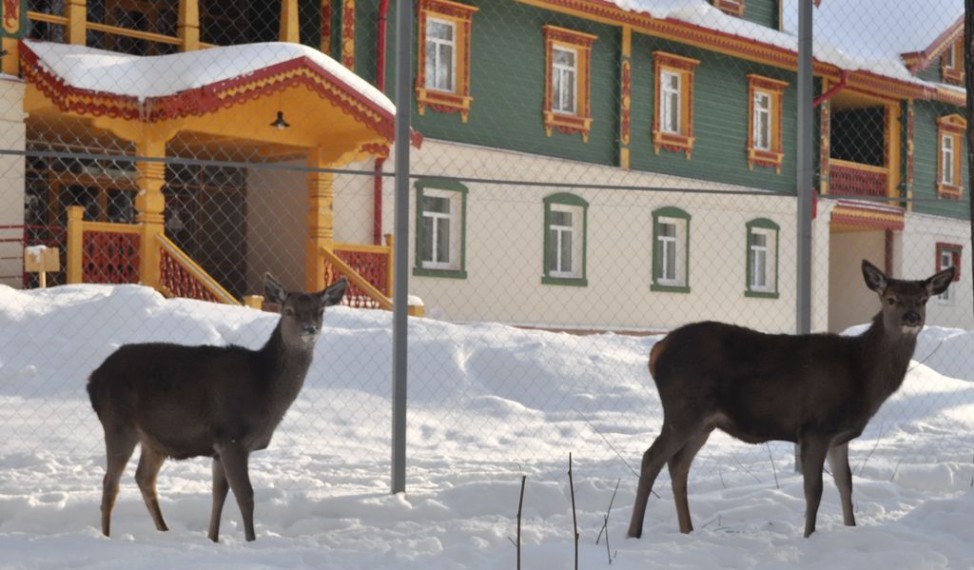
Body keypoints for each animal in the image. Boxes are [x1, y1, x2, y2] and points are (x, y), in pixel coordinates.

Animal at [86, 272, 346, 540]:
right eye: (289, 311)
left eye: (320, 311)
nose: (310, 329)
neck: (263, 390)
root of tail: (92, 380)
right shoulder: (232, 437)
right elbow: (246, 496)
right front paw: (251, 540)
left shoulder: (219, 447)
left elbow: (219, 495)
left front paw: (213, 538)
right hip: (118, 423)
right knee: (110, 483)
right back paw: (106, 536)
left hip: (153, 440)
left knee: (144, 479)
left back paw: (164, 530)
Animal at [628, 260, 956, 536]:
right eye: (891, 299)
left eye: (923, 299)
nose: (912, 317)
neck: (861, 375)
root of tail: (656, 352)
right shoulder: (815, 428)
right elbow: (815, 489)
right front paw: (809, 535)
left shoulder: (839, 436)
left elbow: (846, 483)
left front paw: (851, 529)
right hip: (683, 409)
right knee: (651, 458)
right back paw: (634, 533)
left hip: (704, 422)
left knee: (678, 465)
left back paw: (688, 530)